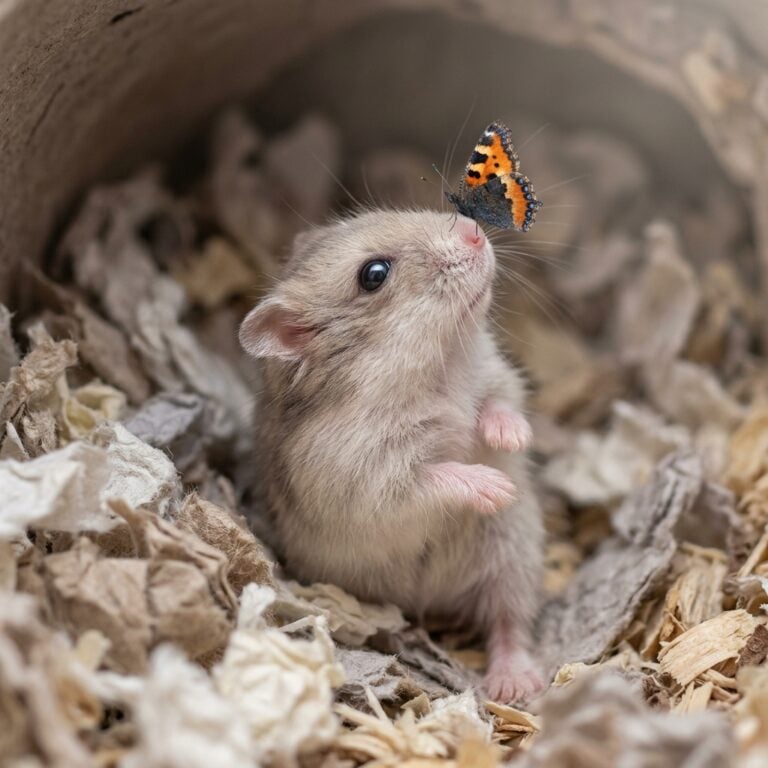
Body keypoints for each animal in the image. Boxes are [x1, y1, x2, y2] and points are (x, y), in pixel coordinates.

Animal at [239, 210, 544, 702]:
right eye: (373, 274)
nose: (474, 232)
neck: (436, 366)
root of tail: (431, 601)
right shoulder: (371, 481)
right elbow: (437, 474)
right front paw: (497, 487)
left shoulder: (496, 377)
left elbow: (499, 404)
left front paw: (511, 439)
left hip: (513, 554)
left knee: (508, 622)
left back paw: (513, 684)